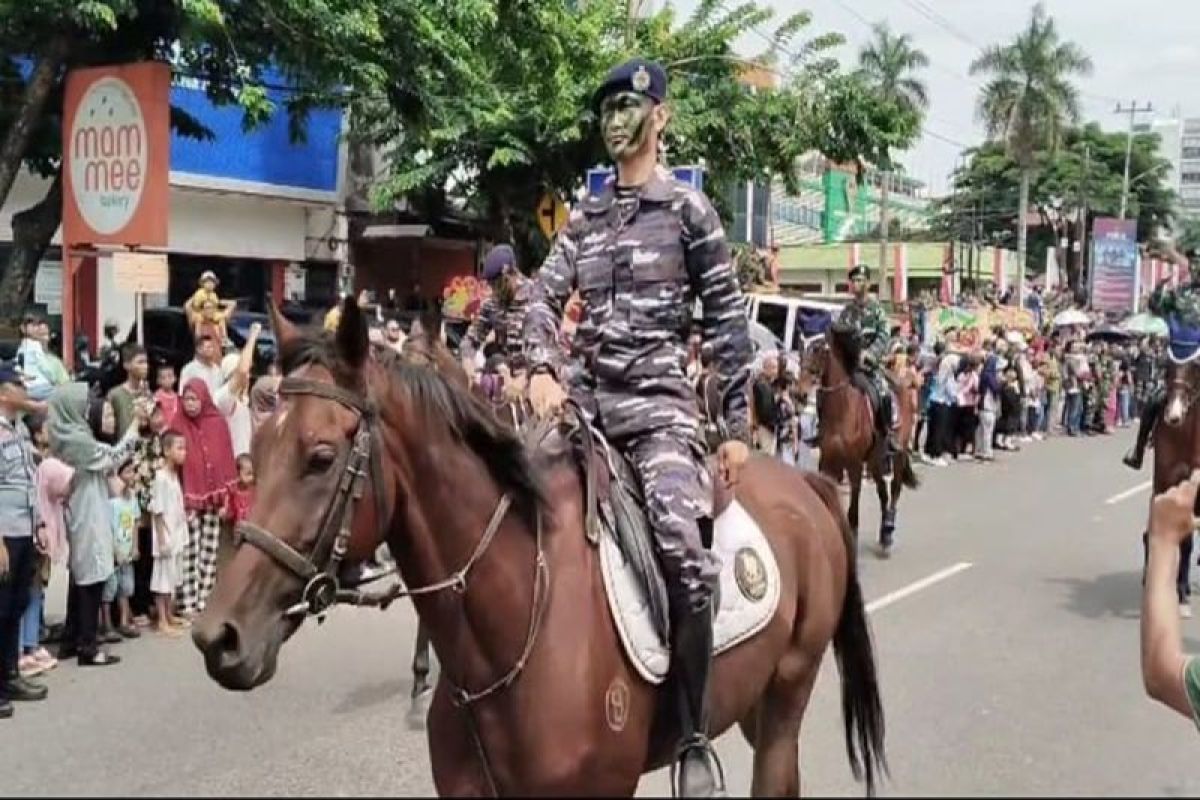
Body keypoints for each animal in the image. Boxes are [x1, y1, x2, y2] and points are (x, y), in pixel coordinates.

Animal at [189, 299, 883, 796]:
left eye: (321, 456)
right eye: (260, 447)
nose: (218, 637)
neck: (517, 621)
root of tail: (801, 481)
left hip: (789, 688)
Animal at [806, 326, 916, 556]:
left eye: (818, 349)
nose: (799, 388)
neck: (842, 410)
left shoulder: (854, 465)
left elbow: (853, 508)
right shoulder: (828, 462)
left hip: (898, 455)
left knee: (894, 489)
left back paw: (889, 531)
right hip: (875, 460)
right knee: (883, 493)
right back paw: (883, 535)